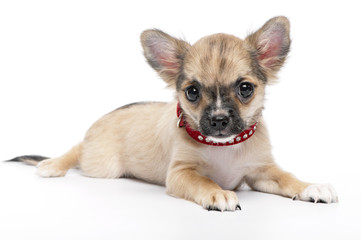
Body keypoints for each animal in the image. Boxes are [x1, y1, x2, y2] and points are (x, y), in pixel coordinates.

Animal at [11, 16, 338, 211]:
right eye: (192, 92)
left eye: (245, 89)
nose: (219, 119)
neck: (224, 148)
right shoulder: (181, 173)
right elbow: (203, 181)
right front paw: (217, 192)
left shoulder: (262, 172)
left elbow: (287, 177)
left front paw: (310, 186)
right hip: (101, 165)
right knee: (78, 149)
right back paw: (53, 165)